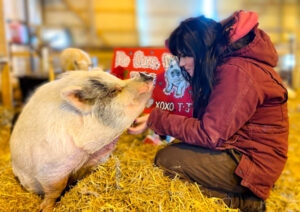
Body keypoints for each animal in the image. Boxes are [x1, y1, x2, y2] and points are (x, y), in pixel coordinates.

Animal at [9, 69, 155, 210]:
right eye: (114, 91)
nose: (146, 74)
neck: (88, 152)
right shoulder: (51, 170)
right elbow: (55, 190)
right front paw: (45, 208)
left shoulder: (98, 159)